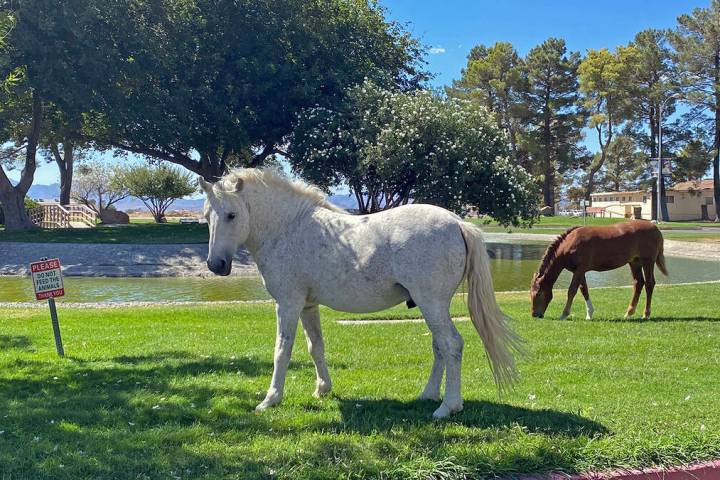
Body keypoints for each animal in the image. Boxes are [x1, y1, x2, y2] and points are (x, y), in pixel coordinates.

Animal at [199, 168, 521, 418]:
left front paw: (270, 399)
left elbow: (282, 351)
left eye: (231, 215)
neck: (288, 229)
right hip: (432, 307)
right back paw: (428, 395)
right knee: (440, 347)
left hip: (432, 303)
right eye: (206, 216)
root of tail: (457, 222)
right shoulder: (308, 306)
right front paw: (323, 389)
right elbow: (315, 347)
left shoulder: (288, 304)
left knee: (451, 344)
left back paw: (447, 407)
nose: (216, 265)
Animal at [530, 221, 668, 320]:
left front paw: (564, 314)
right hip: (635, 262)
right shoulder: (580, 271)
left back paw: (646, 314)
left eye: (538, 294)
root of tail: (655, 228)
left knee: (649, 284)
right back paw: (628, 313)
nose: (535, 315)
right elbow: (584, 290)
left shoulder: (580, 270)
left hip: (647, 261)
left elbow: (572, 290)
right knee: (638, 283)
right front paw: (589, 314)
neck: (569, 244)